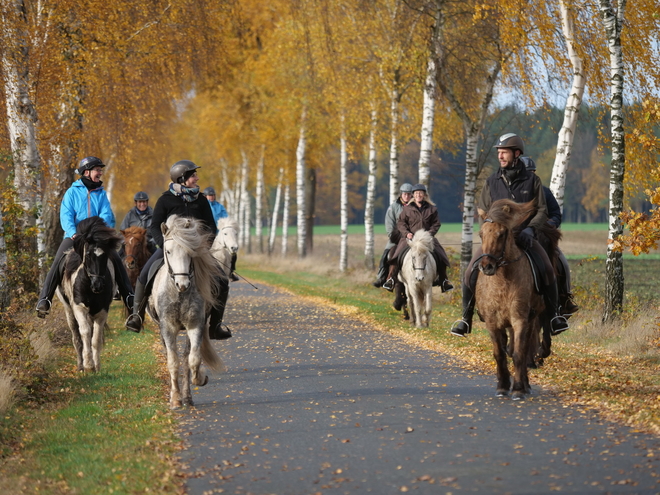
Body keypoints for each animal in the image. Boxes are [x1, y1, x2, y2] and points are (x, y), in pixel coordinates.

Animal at [56, 216, 122, 372]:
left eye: (105, 255)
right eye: (88, 255)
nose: (97, 285)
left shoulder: (102, 311)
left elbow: (96, 338)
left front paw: (96, 366)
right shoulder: (79, 308)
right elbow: (85, 332)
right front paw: (88, 365)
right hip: (69, 311)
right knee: (76, 337)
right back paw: (80, 365)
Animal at [148, 215, 226, 408]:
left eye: (191, 252)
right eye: (168, 251)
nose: (182, 284)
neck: (179, 294)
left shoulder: (195, 325)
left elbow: (192, 359)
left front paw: (200, 379)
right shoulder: (167, 328)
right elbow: (173, 362)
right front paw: (175, 399)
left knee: (186, 356)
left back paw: (188, 397)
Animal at [474, 200, 556, 402]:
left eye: (502, 233)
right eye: (481, 234)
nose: (486, 266)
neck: (502, 281)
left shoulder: (520, 320)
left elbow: (519, 354)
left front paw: (518, 388)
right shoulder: (492, 322)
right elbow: (499, 354)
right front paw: (502, 386)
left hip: (531, 319)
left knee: (524, 349)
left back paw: (525, 385)